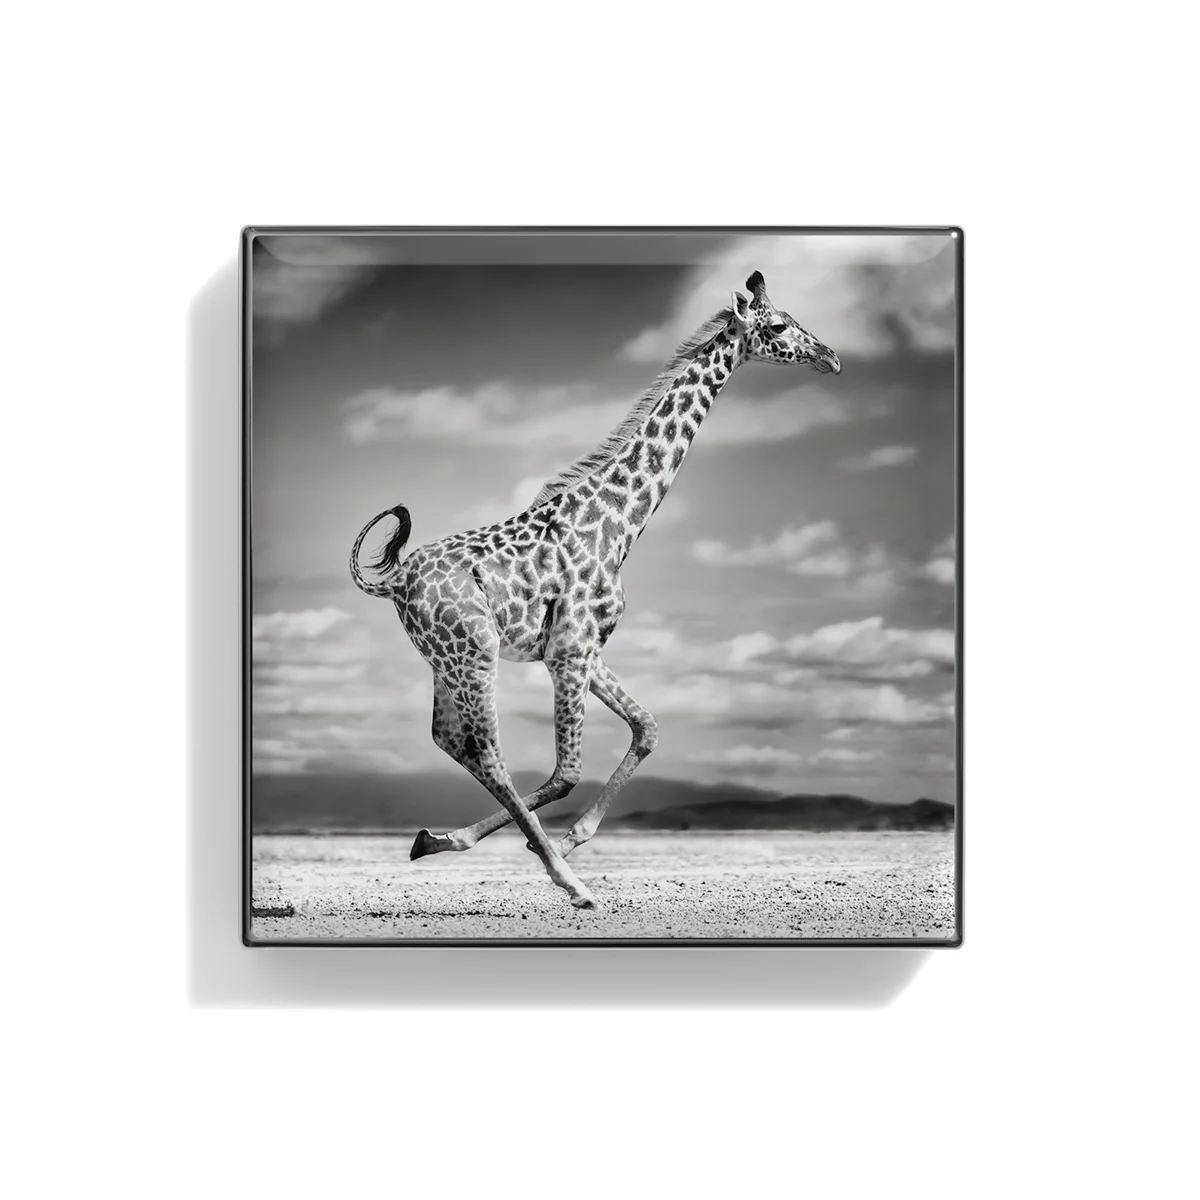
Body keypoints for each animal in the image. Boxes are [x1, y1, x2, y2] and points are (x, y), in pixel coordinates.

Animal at [350, 271, 840, 908]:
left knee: (450, 740)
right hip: (475, 653)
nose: (831, 357)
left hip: (445, 660)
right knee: (487, 750)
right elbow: (567, 772)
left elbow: (647, 728)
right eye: (778, 325)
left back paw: (438, 839)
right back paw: (571, 882)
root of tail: (394, 581)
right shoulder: (569, 652)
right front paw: (559, 853)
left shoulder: (584, 648)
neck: (620, 522)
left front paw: (561, 838)